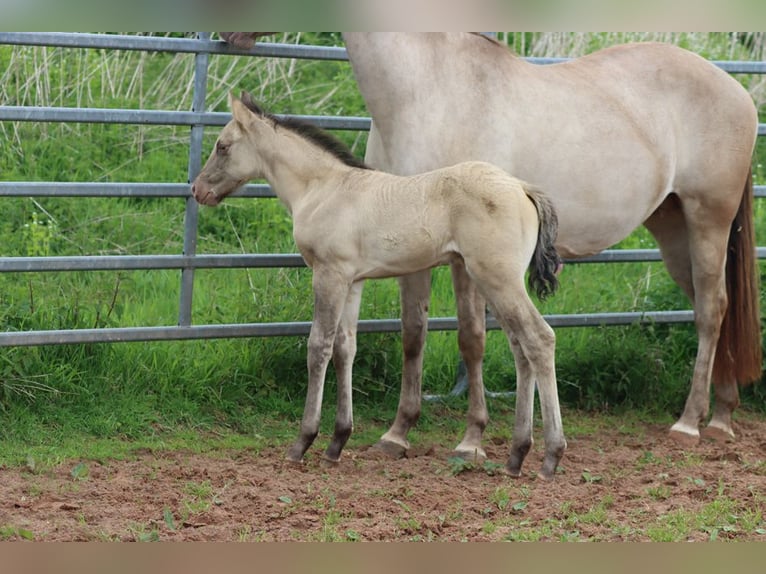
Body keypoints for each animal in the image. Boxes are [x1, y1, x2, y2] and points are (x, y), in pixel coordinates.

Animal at [191, 91, 566, 479]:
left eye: (222, 146)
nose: (197, 189)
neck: (322, 189)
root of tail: (522, 188)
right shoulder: (352, 282)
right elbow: (345, 349)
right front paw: (337, 441)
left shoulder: (329, 274)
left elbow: (318, 347)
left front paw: (303, 441)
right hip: (496, 281)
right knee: (521, 348)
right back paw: (516, 455)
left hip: (496, 277)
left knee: (539, 339)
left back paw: (550, 456)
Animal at [219, 33, 761, 458]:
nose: (229, 35)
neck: (424, 87)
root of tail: (741, 93)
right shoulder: (410, 249)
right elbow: (413, 333)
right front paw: (398, 432)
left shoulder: (461, 259)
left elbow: (471, 339)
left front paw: (472, 438)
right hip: (672, 230)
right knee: (715, 308)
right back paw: (722, 415)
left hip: (707, 220)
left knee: (711, 311)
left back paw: (690, 423)